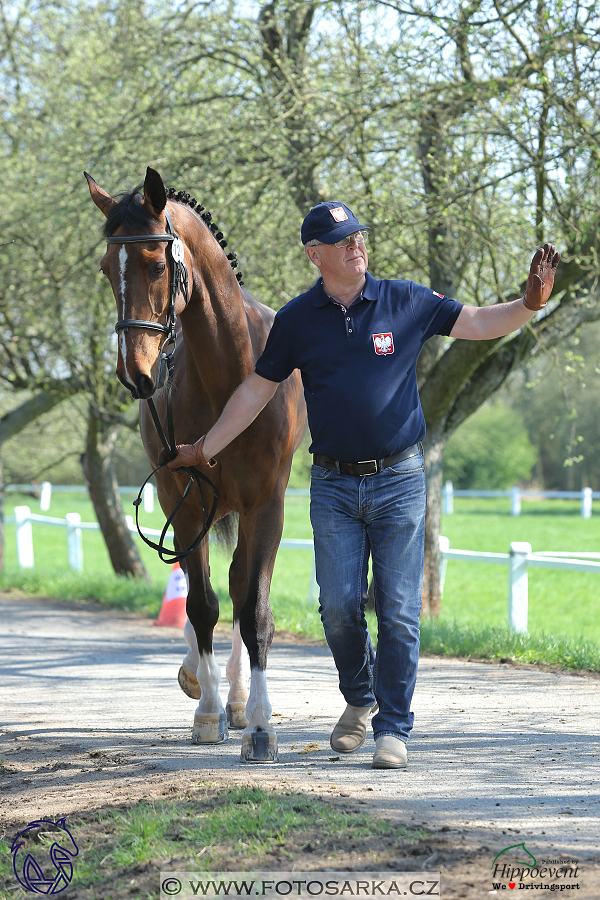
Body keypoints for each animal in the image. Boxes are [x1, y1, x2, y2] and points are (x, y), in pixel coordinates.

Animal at [85, 167, 304, 760]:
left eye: (157, 265)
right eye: (105, 268)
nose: (136, 374)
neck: (232, 376)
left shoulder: (265, 504)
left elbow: (253, 609)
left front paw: (260, 725)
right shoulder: (182, 504)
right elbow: (201, 605)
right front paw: (207, 712)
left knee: (238, 588)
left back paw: (238, 697)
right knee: (200, 589)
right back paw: (199, 679)